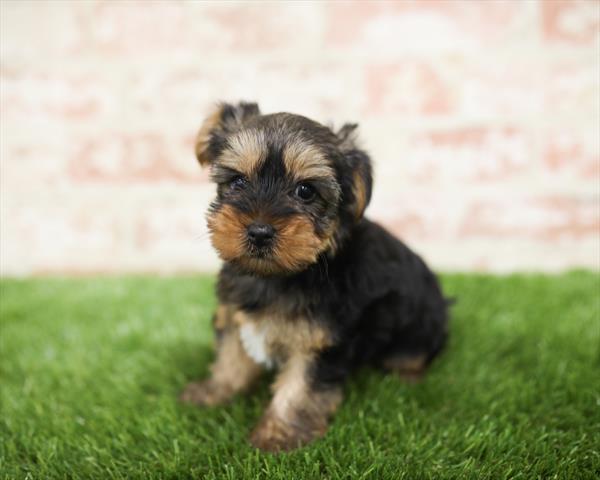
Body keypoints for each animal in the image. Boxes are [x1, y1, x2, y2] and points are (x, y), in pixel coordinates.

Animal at [180, 99, 448, 452]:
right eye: (238, 181)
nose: (259, 232)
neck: (281, 275)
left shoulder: (321, 339)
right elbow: (231, 356)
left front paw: (278, 436)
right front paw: (214, 392)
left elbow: (300, 388)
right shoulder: (235, 313)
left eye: (305, 191)